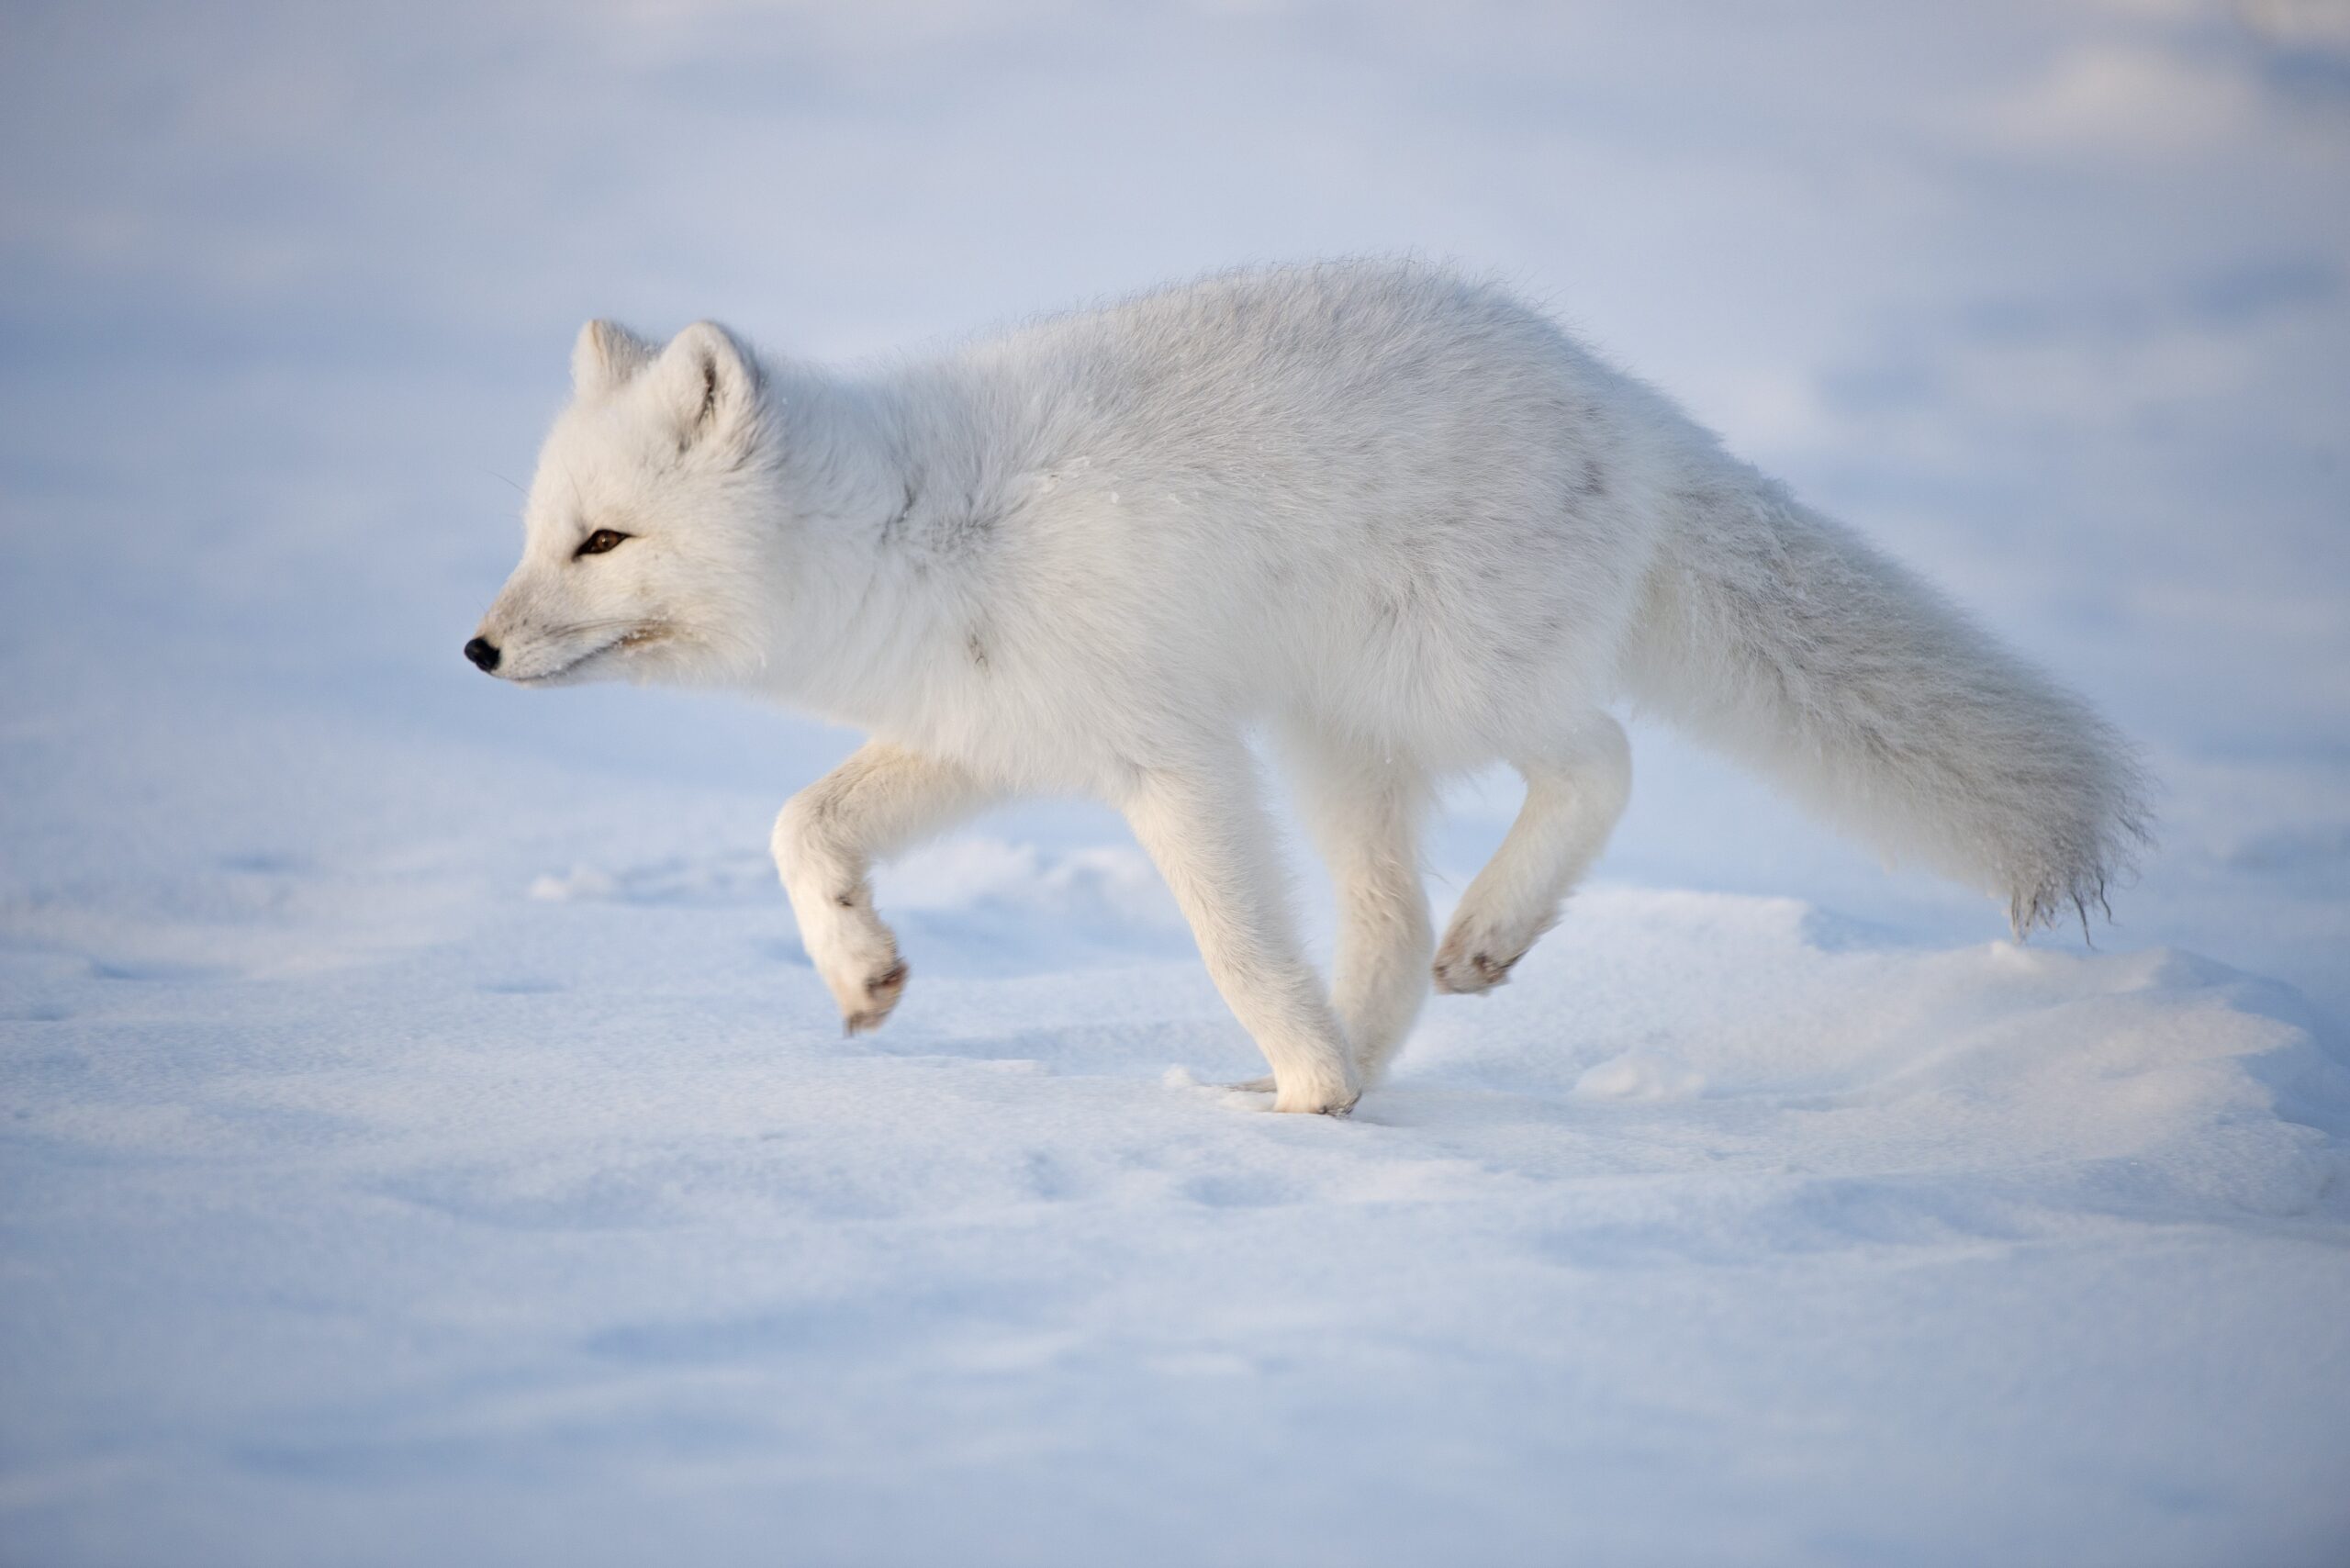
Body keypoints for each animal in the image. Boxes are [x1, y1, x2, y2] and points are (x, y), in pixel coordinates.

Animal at [472, 261, 2152, 1114]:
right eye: (540, 533)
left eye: (605, 540)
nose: (475, 653)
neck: (914, 521)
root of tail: (1625, 401)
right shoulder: (997, 739)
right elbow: (799, 824)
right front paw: (859, 969)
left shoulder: (1174, 760)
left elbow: (1232, 940)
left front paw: (1300, 1079)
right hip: (1345, 744)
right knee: (1393, 931)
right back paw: (1346, 1072)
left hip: (1439, 689)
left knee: (1602, 759)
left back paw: (1439, 980)